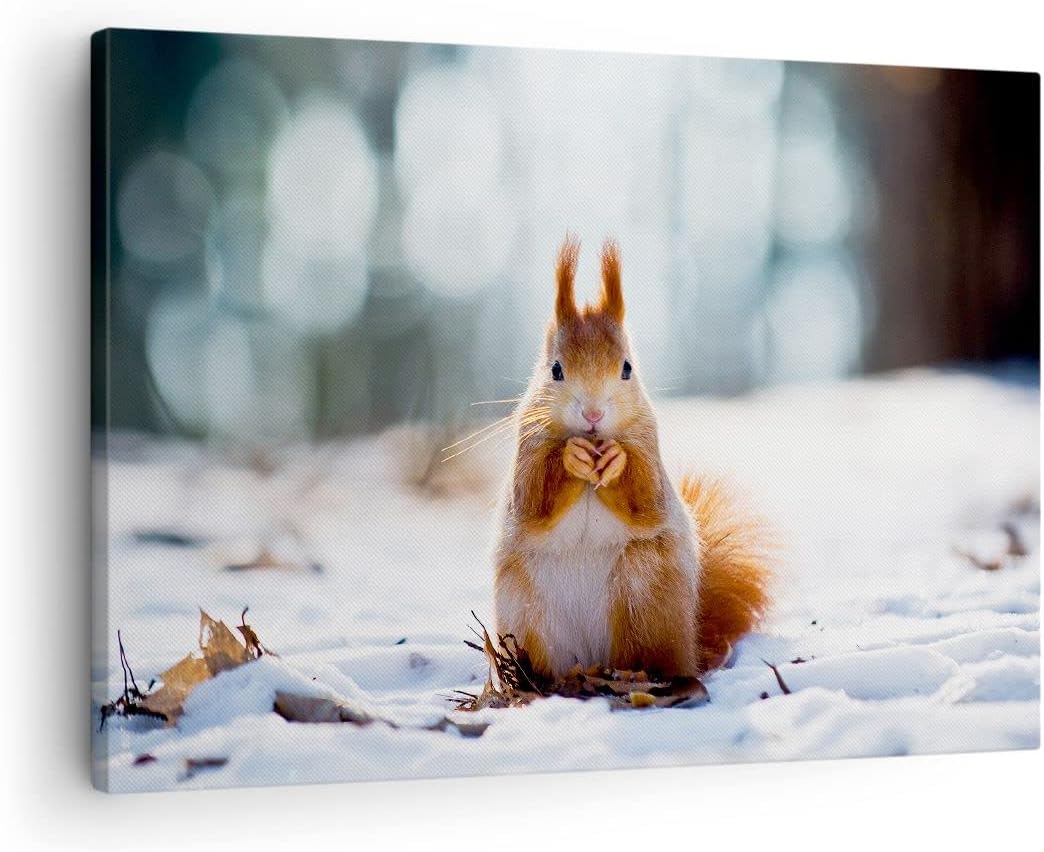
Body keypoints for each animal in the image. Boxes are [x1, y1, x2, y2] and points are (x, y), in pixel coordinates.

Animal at [494, 236, 770, 680]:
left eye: (627, 368)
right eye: (555, 370)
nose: (593, 415)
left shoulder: (648, 445)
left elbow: (646, 498)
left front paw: (616, 461)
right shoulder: (528, 446)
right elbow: (534, 499)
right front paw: (571, 457)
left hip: (643, 592)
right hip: (524, 608)